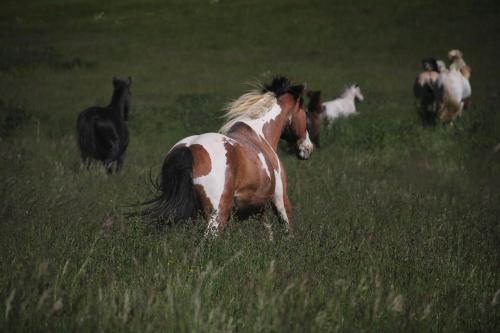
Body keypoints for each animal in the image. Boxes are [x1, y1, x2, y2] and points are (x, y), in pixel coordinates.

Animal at [142, 76, 312, 235]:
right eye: (305, 112)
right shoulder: (280, 199)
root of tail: (189, 148)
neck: (260, 134)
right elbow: (287, 230)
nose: (308, 148)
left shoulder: (259, 208)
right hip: (217, 215)